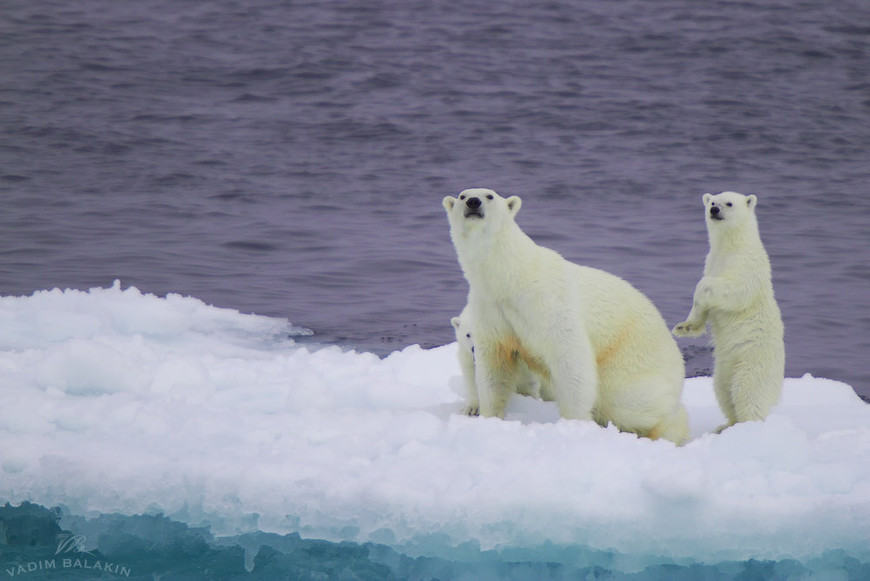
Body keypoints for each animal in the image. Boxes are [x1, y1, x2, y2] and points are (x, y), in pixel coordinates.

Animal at [446, 188, 692, 442]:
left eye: (489, 196)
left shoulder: (547, 302)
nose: (473, 202)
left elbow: (570, 357)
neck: (510, 278)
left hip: (628, 360)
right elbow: (494, 365)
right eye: (462, 195)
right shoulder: (491, 310)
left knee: (628, 401)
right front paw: (488, 417)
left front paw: (575, 424)